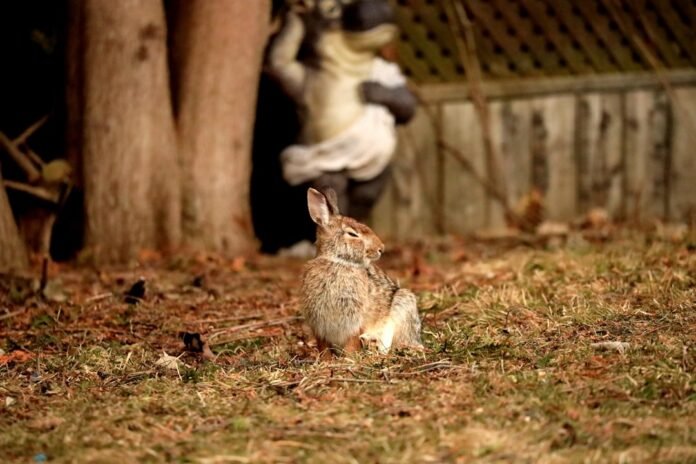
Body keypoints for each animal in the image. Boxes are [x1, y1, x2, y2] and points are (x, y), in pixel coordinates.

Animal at [301, 187, 423, 356]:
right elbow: (324, 347)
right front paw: (325, 360)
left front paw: (349, 358)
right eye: (352, 234)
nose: (381, 248)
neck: (338, 262)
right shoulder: (319, 326)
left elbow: (352, 342)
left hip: (403, 304)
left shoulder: (354, 323)